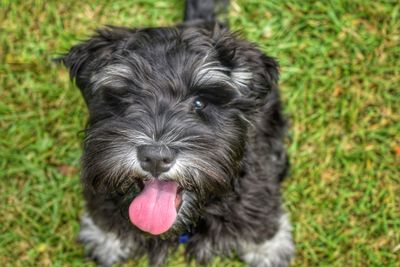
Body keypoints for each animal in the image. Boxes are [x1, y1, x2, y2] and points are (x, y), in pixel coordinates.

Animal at [61, 0, 296, 267]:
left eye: (200, 102)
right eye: (126, 97)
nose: (155, 157)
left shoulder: (254, 188)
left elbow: (260, 218)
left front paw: (268, 248)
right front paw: (106, 239)